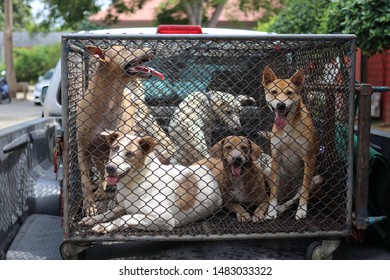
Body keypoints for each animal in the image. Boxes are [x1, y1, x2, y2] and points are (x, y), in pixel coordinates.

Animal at [76, 46, 165, 217]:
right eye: (126, 49)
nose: (154, 49)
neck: (110, 99)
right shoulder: (83, 150)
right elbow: (85, 182)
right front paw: (89, 205)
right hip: (98, 157)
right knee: (102, 173)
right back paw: (100, 191)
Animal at [80, 132, 222, 233]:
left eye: (130, 154)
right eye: (115, 148)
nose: (109, 168)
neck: (137, 181)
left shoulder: (164, 218)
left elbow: (124, 218)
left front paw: (104, 226)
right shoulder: (122, 207)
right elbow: (109, 213)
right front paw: (93, 219)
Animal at [262, 65, 320, 221]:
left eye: (289, 93)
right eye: (273, 92)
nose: (281, 105)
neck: (288, 125)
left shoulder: (309, 158)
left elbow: (304, 191)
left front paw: (302, 210)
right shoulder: (276, 157)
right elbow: (273, 192)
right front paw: (271, 211)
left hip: (318, 178)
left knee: (294, 198)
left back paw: (283, 207)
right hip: (268, 169)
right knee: (280, 196)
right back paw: (277, 207)